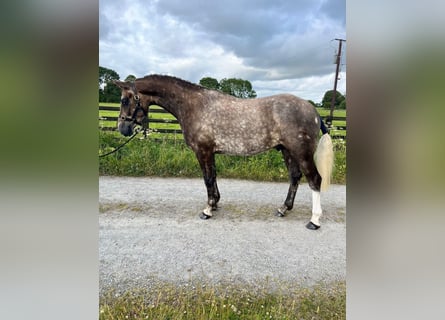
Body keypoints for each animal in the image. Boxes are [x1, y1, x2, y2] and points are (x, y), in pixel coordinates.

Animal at [112, 74, 332, 230]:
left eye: (124, 100)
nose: (122, 128)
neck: (194, 106)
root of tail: (313, 111)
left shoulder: (203, 151)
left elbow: (207, 179)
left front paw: (208, 210)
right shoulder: (211, 152)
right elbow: (213, 177)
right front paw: (215, 204)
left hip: (301, 152)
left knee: (314, 180)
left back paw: (314, 221)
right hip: (287, 151)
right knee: (294, 177)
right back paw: (283, 209)